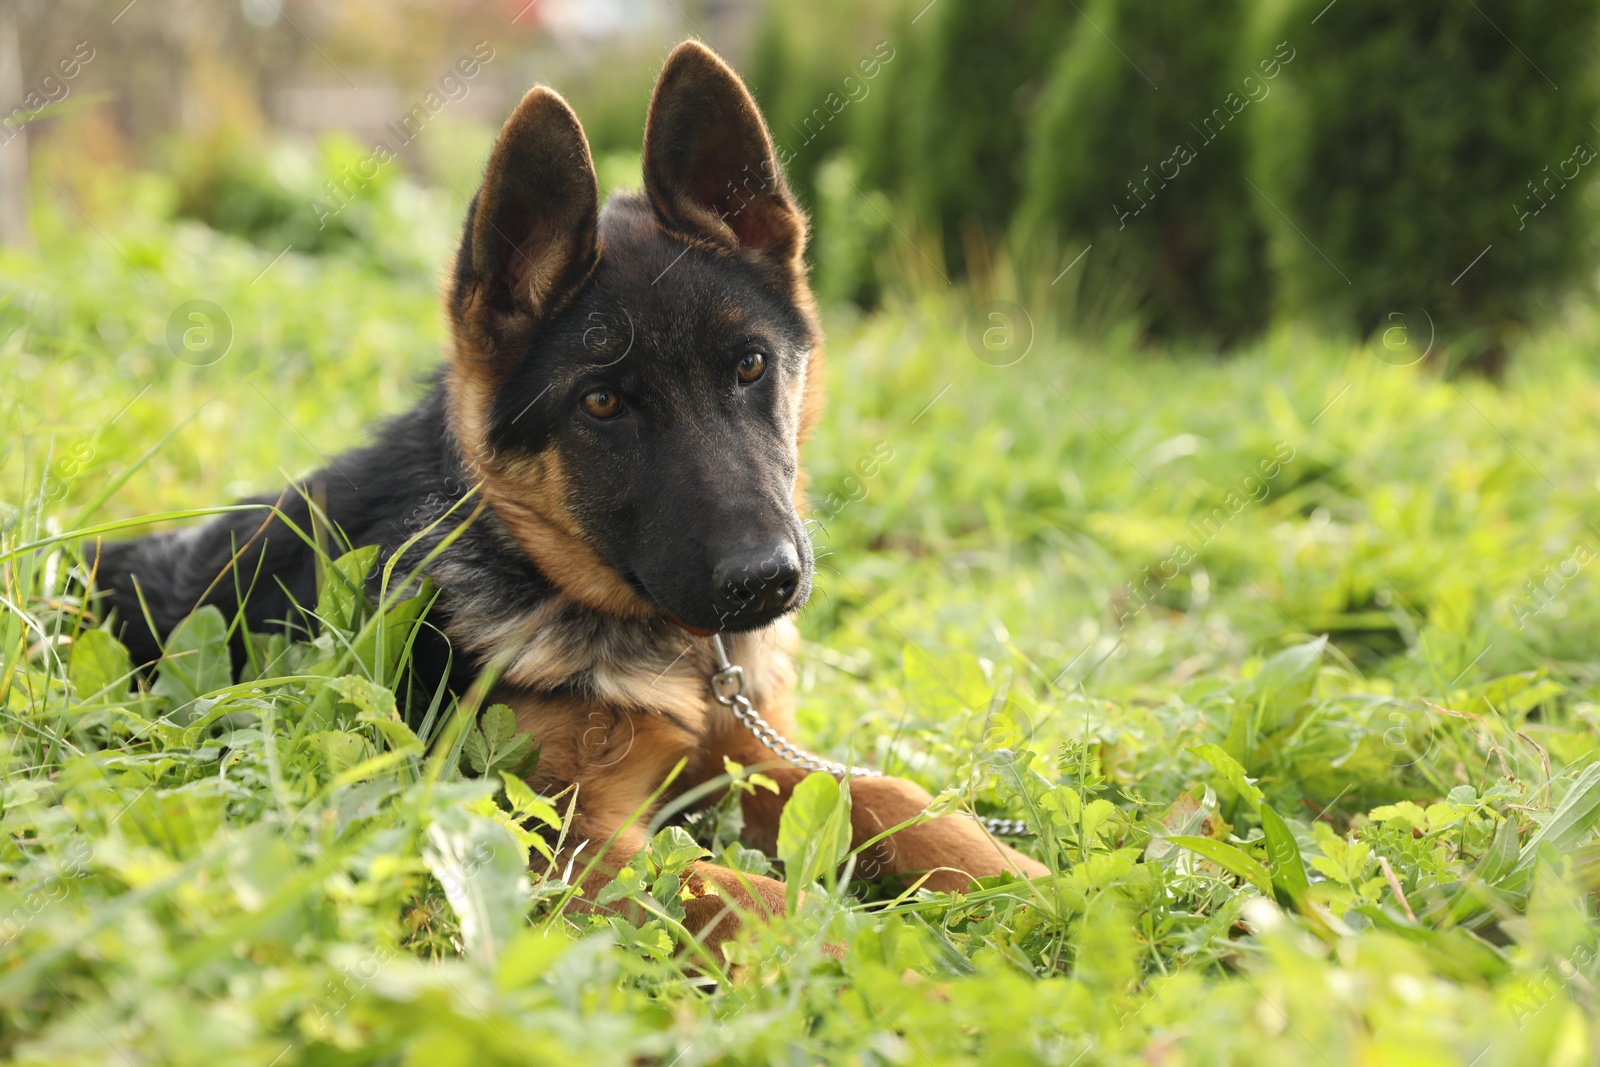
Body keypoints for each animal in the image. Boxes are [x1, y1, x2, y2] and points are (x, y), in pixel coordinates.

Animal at [100, 41, 1049, 947]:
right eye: (601, 404)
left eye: (750, 365)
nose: (764, 582)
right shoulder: (559, 836)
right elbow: (750, 893)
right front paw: (887, 955)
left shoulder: (744, 763)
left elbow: (888, 793)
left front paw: (1021, 878)